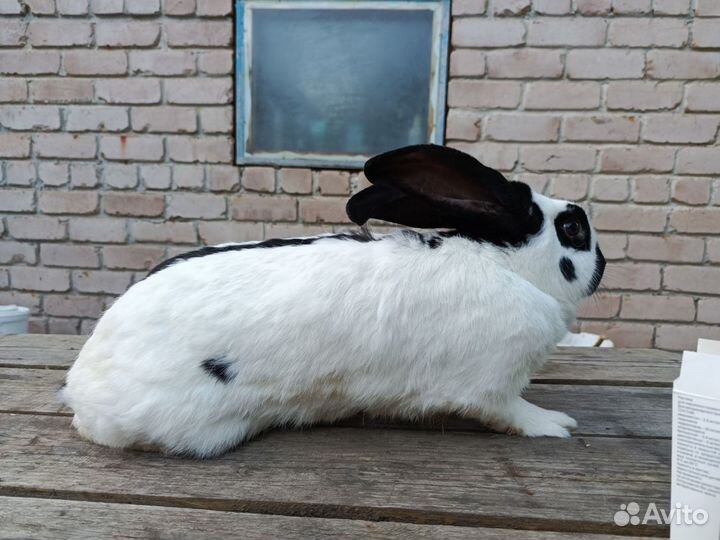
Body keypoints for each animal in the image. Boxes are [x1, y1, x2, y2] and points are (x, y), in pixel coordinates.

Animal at [60, 144, 606, 458]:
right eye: (574, 229)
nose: (603, 265)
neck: (508, 265)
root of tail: (82, 390)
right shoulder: (492, 386)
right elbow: (512, 412)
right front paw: (554, 426)